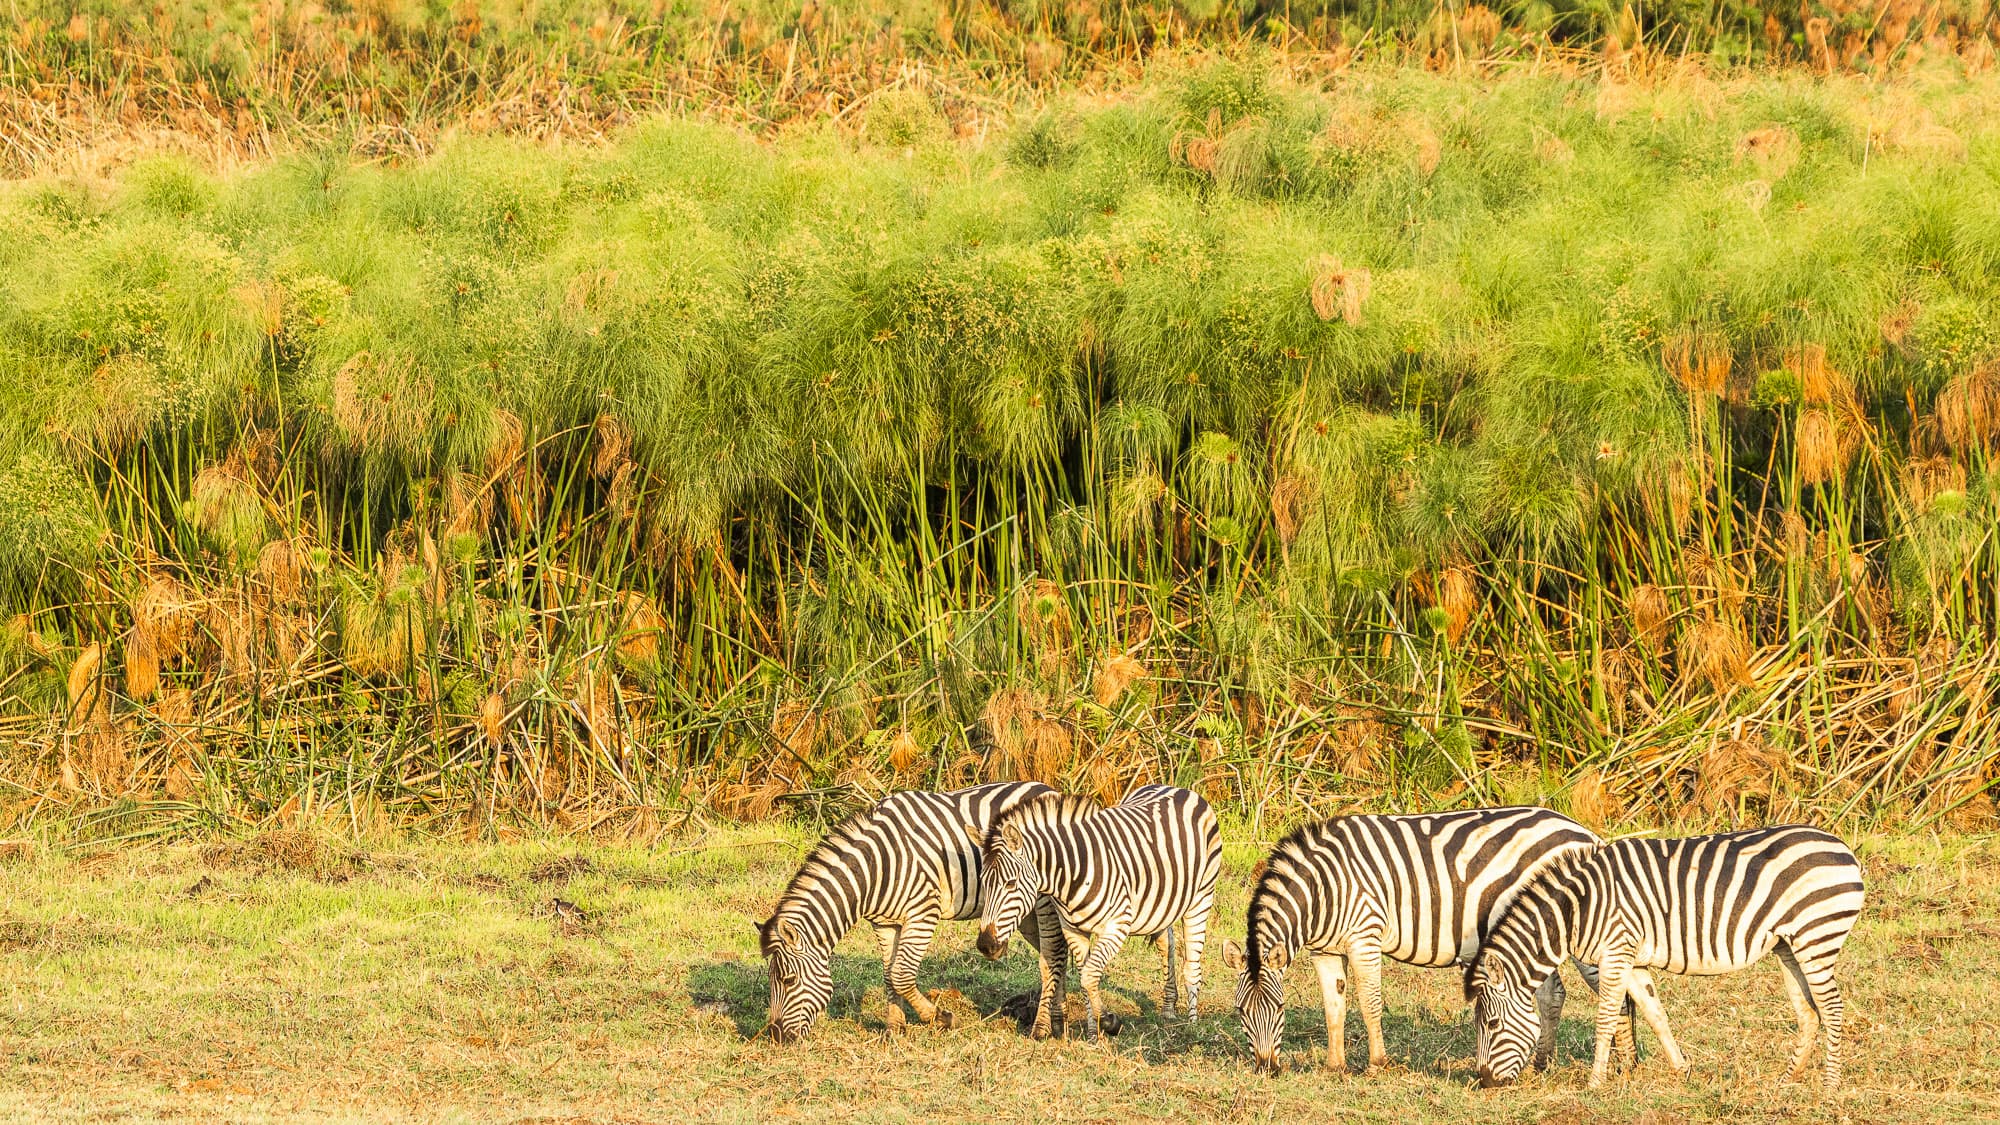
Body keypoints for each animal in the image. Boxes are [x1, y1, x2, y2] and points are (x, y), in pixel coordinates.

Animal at [756, 780, 1068, 1043]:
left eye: (788, 980)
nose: (776, 1037)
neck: (875, 868)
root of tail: (1045, 787)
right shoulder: (884, 923)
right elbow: (888, 974)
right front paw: (895, 1028)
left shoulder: (923, 913)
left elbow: (902, 975)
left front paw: (941, 1018)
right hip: (1023, 914)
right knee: (1057, 953)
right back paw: (1058, 1018)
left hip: (1042, 901)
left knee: (1052, 956)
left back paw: (1043, 1026)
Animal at [974, 784, 1223, 1041]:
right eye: (983, 882)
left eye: (1011, 884)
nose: (985, 945)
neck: (1073, 873)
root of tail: (1175, 787)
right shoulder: (1073, 930)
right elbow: (1085, 978)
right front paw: (1094, 1033)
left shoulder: (1117, 925)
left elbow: (1088, 975)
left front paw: (1109, 1022)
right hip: (1162, 905)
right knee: (1167, 944)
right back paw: (1168, 1010)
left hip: (1201, 897)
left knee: (1192, 964)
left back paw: (1192, 1026)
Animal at [1220, 807, 1656, 1075]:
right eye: (1240, 1012)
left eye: (1279, 1009)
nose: (1266, 1068)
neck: (1322, 889)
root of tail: (1584, 832)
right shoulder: (1324, 950)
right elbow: (1334, 1007)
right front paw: (1334, 1066)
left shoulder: (1365, 934)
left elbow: (1369, 1003)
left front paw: (1377, 1064)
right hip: (1538, 930)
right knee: (1553, 993)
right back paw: (1541, 1063)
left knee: (1613, 990)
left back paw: (1627, 1064)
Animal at [1465, 825, 1866, 1090]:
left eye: (1492, 1025)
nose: (1485, 1082)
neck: (1579, 909)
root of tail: (1842, 846)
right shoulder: (1632, 959)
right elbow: (1655, 1013)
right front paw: (1681, 1070)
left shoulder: (1615, 952)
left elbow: (1606, 1020)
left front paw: (1595, 1084)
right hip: (1789, 945)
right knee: (1809, 1011)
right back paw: (1789, 1078)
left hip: (1816, 937)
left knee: (1831, 1008)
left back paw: (1830, 1085)